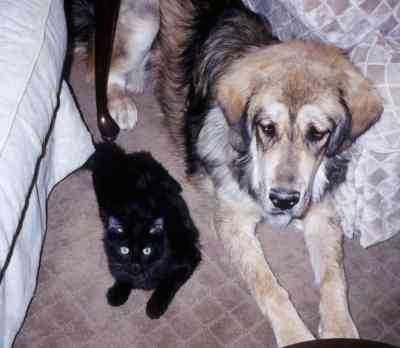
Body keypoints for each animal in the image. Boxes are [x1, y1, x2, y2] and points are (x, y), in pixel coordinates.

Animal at [92, 143, 202, 320]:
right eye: (124, 250)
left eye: (147, 250)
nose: (136, 264)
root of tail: (122, 157)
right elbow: (123, 274)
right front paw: (117, 293)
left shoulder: (189, 257)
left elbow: (166, 284)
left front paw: (155, 306)